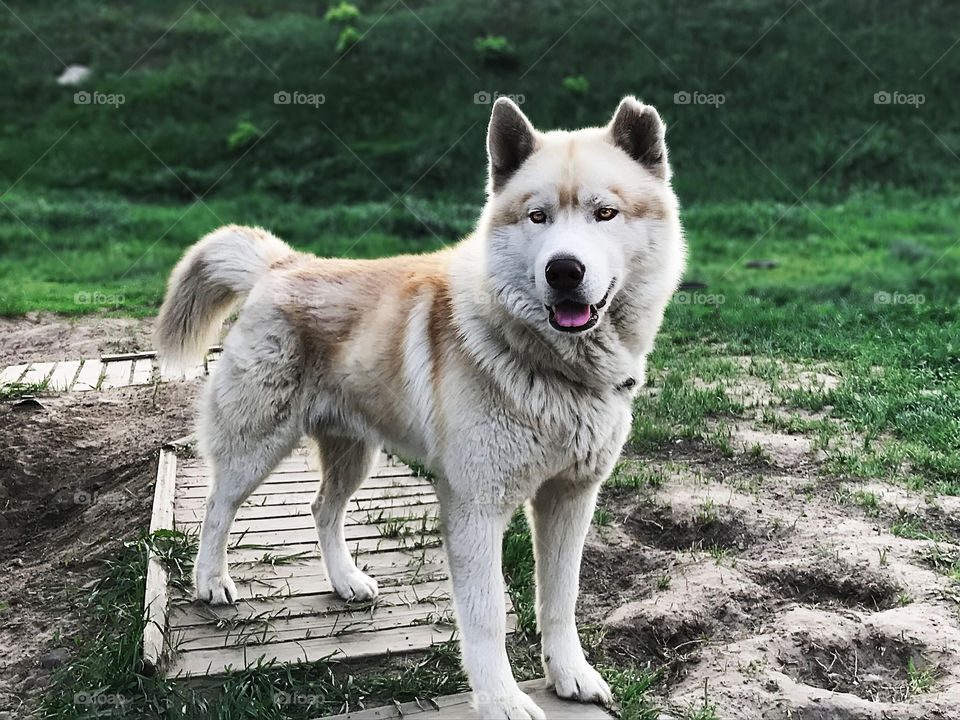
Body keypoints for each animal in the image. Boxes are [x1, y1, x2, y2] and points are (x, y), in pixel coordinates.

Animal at [156, 97, 684, 720]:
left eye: (605, 213)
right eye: (537, 217)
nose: (564, 271)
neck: (553, 368)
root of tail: (282, 265)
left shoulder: (571, 498)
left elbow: (561, 600)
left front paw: (570, 675)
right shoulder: (474, 507)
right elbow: (486, 615)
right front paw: (501, 699)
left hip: (354, 453)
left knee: (322, 509)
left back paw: (345, 581)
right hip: (256, 445)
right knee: (217, 507)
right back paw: (211, 583)